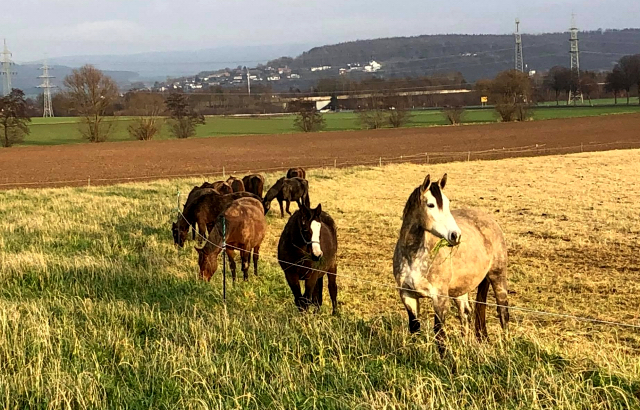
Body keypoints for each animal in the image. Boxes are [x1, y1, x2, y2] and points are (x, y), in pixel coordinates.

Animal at [390, 173, 510, 352]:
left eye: (447, 203)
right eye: (431, 205)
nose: (456, 235)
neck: (414, 256)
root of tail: (489, 219)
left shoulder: (440, 298)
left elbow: (439, 332)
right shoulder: (407, 294)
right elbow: (415, 327)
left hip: (497, 277)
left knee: (503, 311)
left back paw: (507, 345)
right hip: (461, 288)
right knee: (465, 313)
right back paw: (466, 344)